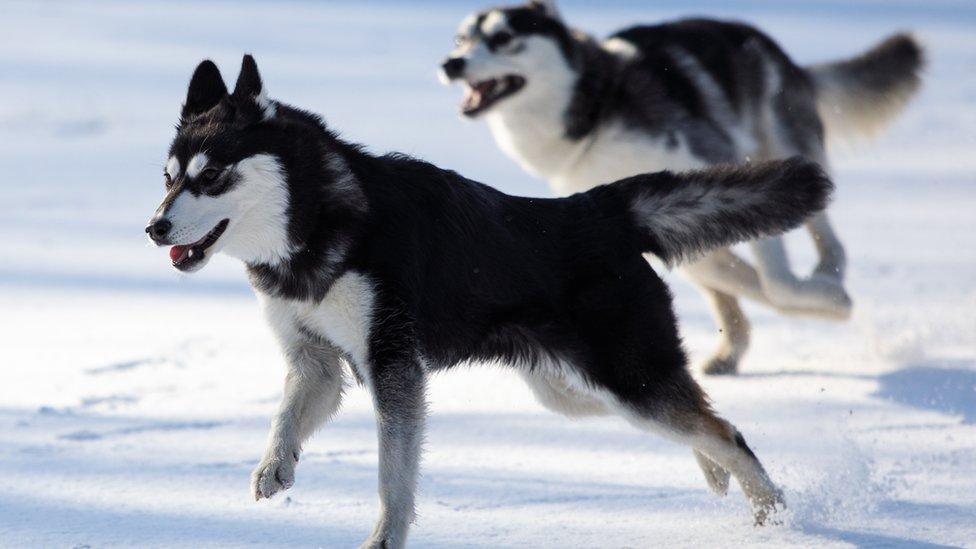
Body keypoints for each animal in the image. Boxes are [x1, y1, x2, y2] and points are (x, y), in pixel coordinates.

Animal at [149, 54, 836, 544]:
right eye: (168, 176)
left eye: (213, 176)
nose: (155, 227)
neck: (317, 222)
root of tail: (597, 207)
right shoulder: (316, 362)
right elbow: (286, 417)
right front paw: (275, 466)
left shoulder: (393, 369)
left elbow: (393, 480)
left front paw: (384, 539)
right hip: (577, 392)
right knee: (703, 422)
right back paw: (716, 473)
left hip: (628, 380)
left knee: (726, 430)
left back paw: (774, 515)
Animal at [440, 0, 924, 372]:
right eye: (461, 40)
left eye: (503, 38)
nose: (451, 63)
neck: (598, 110)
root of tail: (770, 45)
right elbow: (754, 285)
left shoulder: (732, 166)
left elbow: (774, 282)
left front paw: (830, 301)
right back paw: (735, 348)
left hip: (786, 143)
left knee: (824, 232)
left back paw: (828, 274)